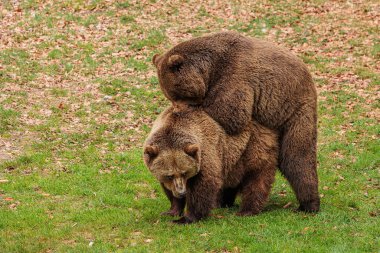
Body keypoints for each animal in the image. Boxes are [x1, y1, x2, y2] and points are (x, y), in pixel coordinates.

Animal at [144, 105, 278, 224]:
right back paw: (222, 202)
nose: (182, 193)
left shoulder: (205, 152)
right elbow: (169, 189)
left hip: (252, 147)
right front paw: (172, 211)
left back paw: (247, 210)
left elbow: (204, 184)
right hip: (232, 160)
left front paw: (186, 218)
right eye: (169, 175)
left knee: (256, 179)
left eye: (185, 172)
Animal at [153, 32, 320, 213]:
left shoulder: (236, 76)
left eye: (176, 94)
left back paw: (308, 205)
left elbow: (231, 113)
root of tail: (309, 77)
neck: (211, 69)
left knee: (297, 158)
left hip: (294, 111)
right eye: (169, 95)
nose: (176, 109)